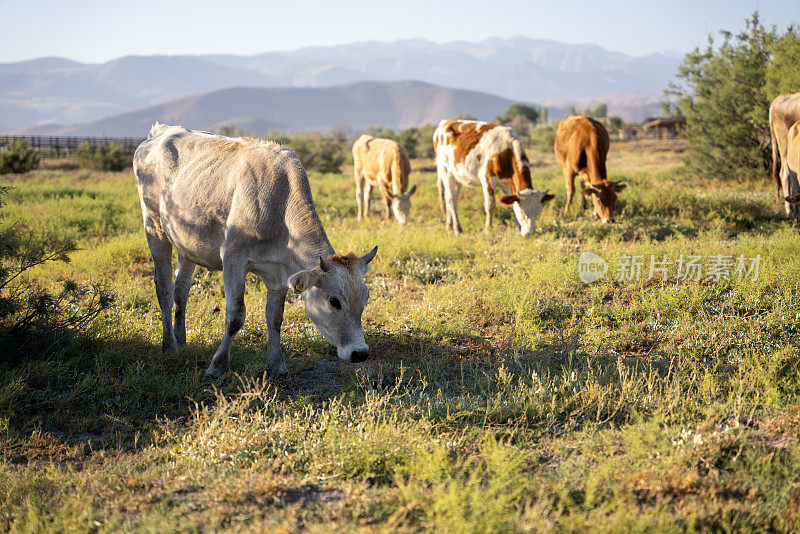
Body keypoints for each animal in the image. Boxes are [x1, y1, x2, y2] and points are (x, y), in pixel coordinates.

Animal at [134, 123, 378, 382]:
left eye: (366, 298)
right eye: (334, 301)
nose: (360, 353)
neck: (280, 208)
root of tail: (161, 131)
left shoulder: (279, 274)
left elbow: (275, 317)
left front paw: (277, 364)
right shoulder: (233, 258)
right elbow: (235, 316)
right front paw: (217, 367)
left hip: (187, 243)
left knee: (181, 288)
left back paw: (181, 340)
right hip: (154, 226)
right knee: (164, 287)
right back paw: (169, 344)